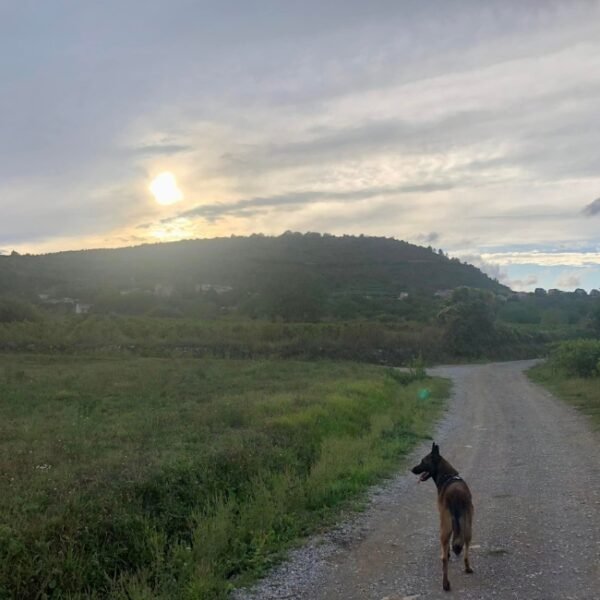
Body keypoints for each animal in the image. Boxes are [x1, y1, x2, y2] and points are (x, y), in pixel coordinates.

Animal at [410, 442, 476, 592]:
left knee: (444, 559)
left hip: (445, 527)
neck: (448, 475)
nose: (412, 469)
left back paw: (446, 584)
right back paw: (467, 568)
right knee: (466, 547)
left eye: (423, 461)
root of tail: (456, 495)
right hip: (468, 526)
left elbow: (446, 550)